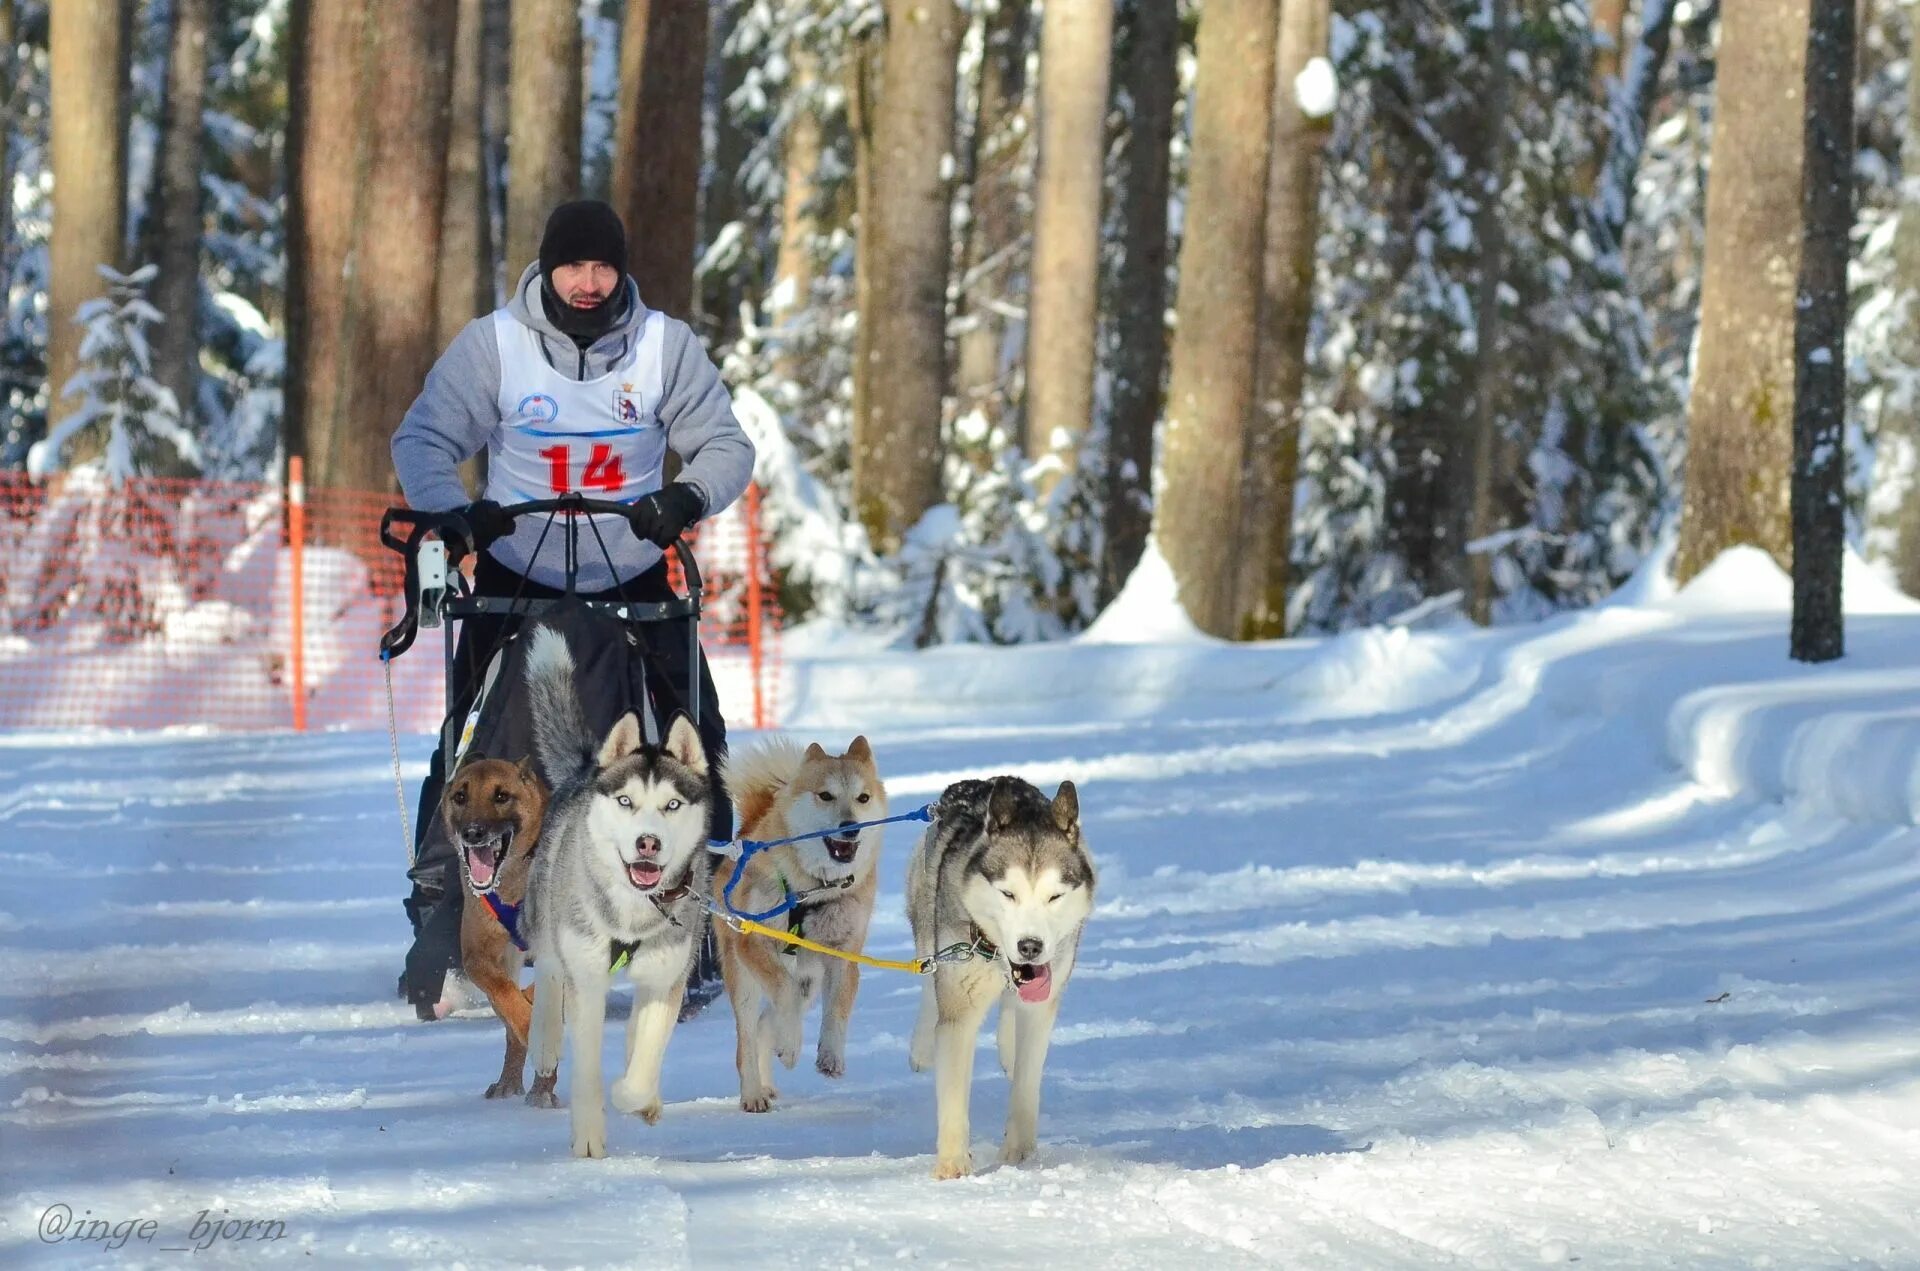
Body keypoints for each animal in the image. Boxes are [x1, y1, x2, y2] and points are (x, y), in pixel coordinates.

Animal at [437, 756, 552, 1105]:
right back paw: (512, 1084)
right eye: (460, 796)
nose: (473, 832)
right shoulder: (480, 956)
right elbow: (508, 999)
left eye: (501, 796)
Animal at [714, 737, 883, 1113]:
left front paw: (830, 1056)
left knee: (767, 1024)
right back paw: (754, 1092)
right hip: (744, 978)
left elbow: (837, 1010)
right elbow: (783, 992)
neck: (814, 888)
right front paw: (791, 1046)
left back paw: (768, 1081)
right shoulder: (754, 944)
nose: (850, 827)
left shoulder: (844, 956)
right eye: (826, 795)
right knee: (748, 1037)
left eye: (863, 798)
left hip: (809, 982)